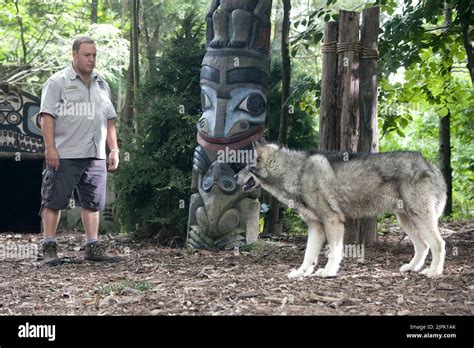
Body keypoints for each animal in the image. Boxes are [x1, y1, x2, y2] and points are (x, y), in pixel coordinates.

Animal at [237, 140, 448, 278]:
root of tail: (432, 166)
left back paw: (434, 272)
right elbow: (308, 256)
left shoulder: (332, 220)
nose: (234, 178)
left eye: (246, 166)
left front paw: (329, 271)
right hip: (406, 220)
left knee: (438, 244)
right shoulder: (316, 226)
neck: (295, 172)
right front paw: (301, 273)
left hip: (419, 218)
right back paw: (412, 268)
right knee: (424, 246)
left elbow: (334, 251)